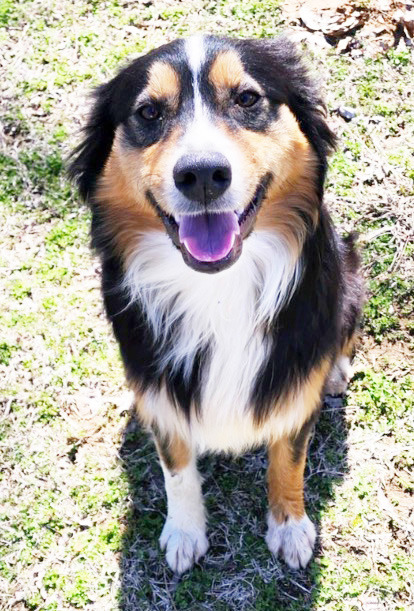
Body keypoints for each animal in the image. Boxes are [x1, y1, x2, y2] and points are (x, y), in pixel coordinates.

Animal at [69, 35, 364, 576]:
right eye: (148, 111)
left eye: (247, 98)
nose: (203, 174)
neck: (217, 289)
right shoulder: (165, 398)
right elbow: (176, 465)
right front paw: (185, 532)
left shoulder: (293, 391)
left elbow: (289, 458)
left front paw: (289, 526)